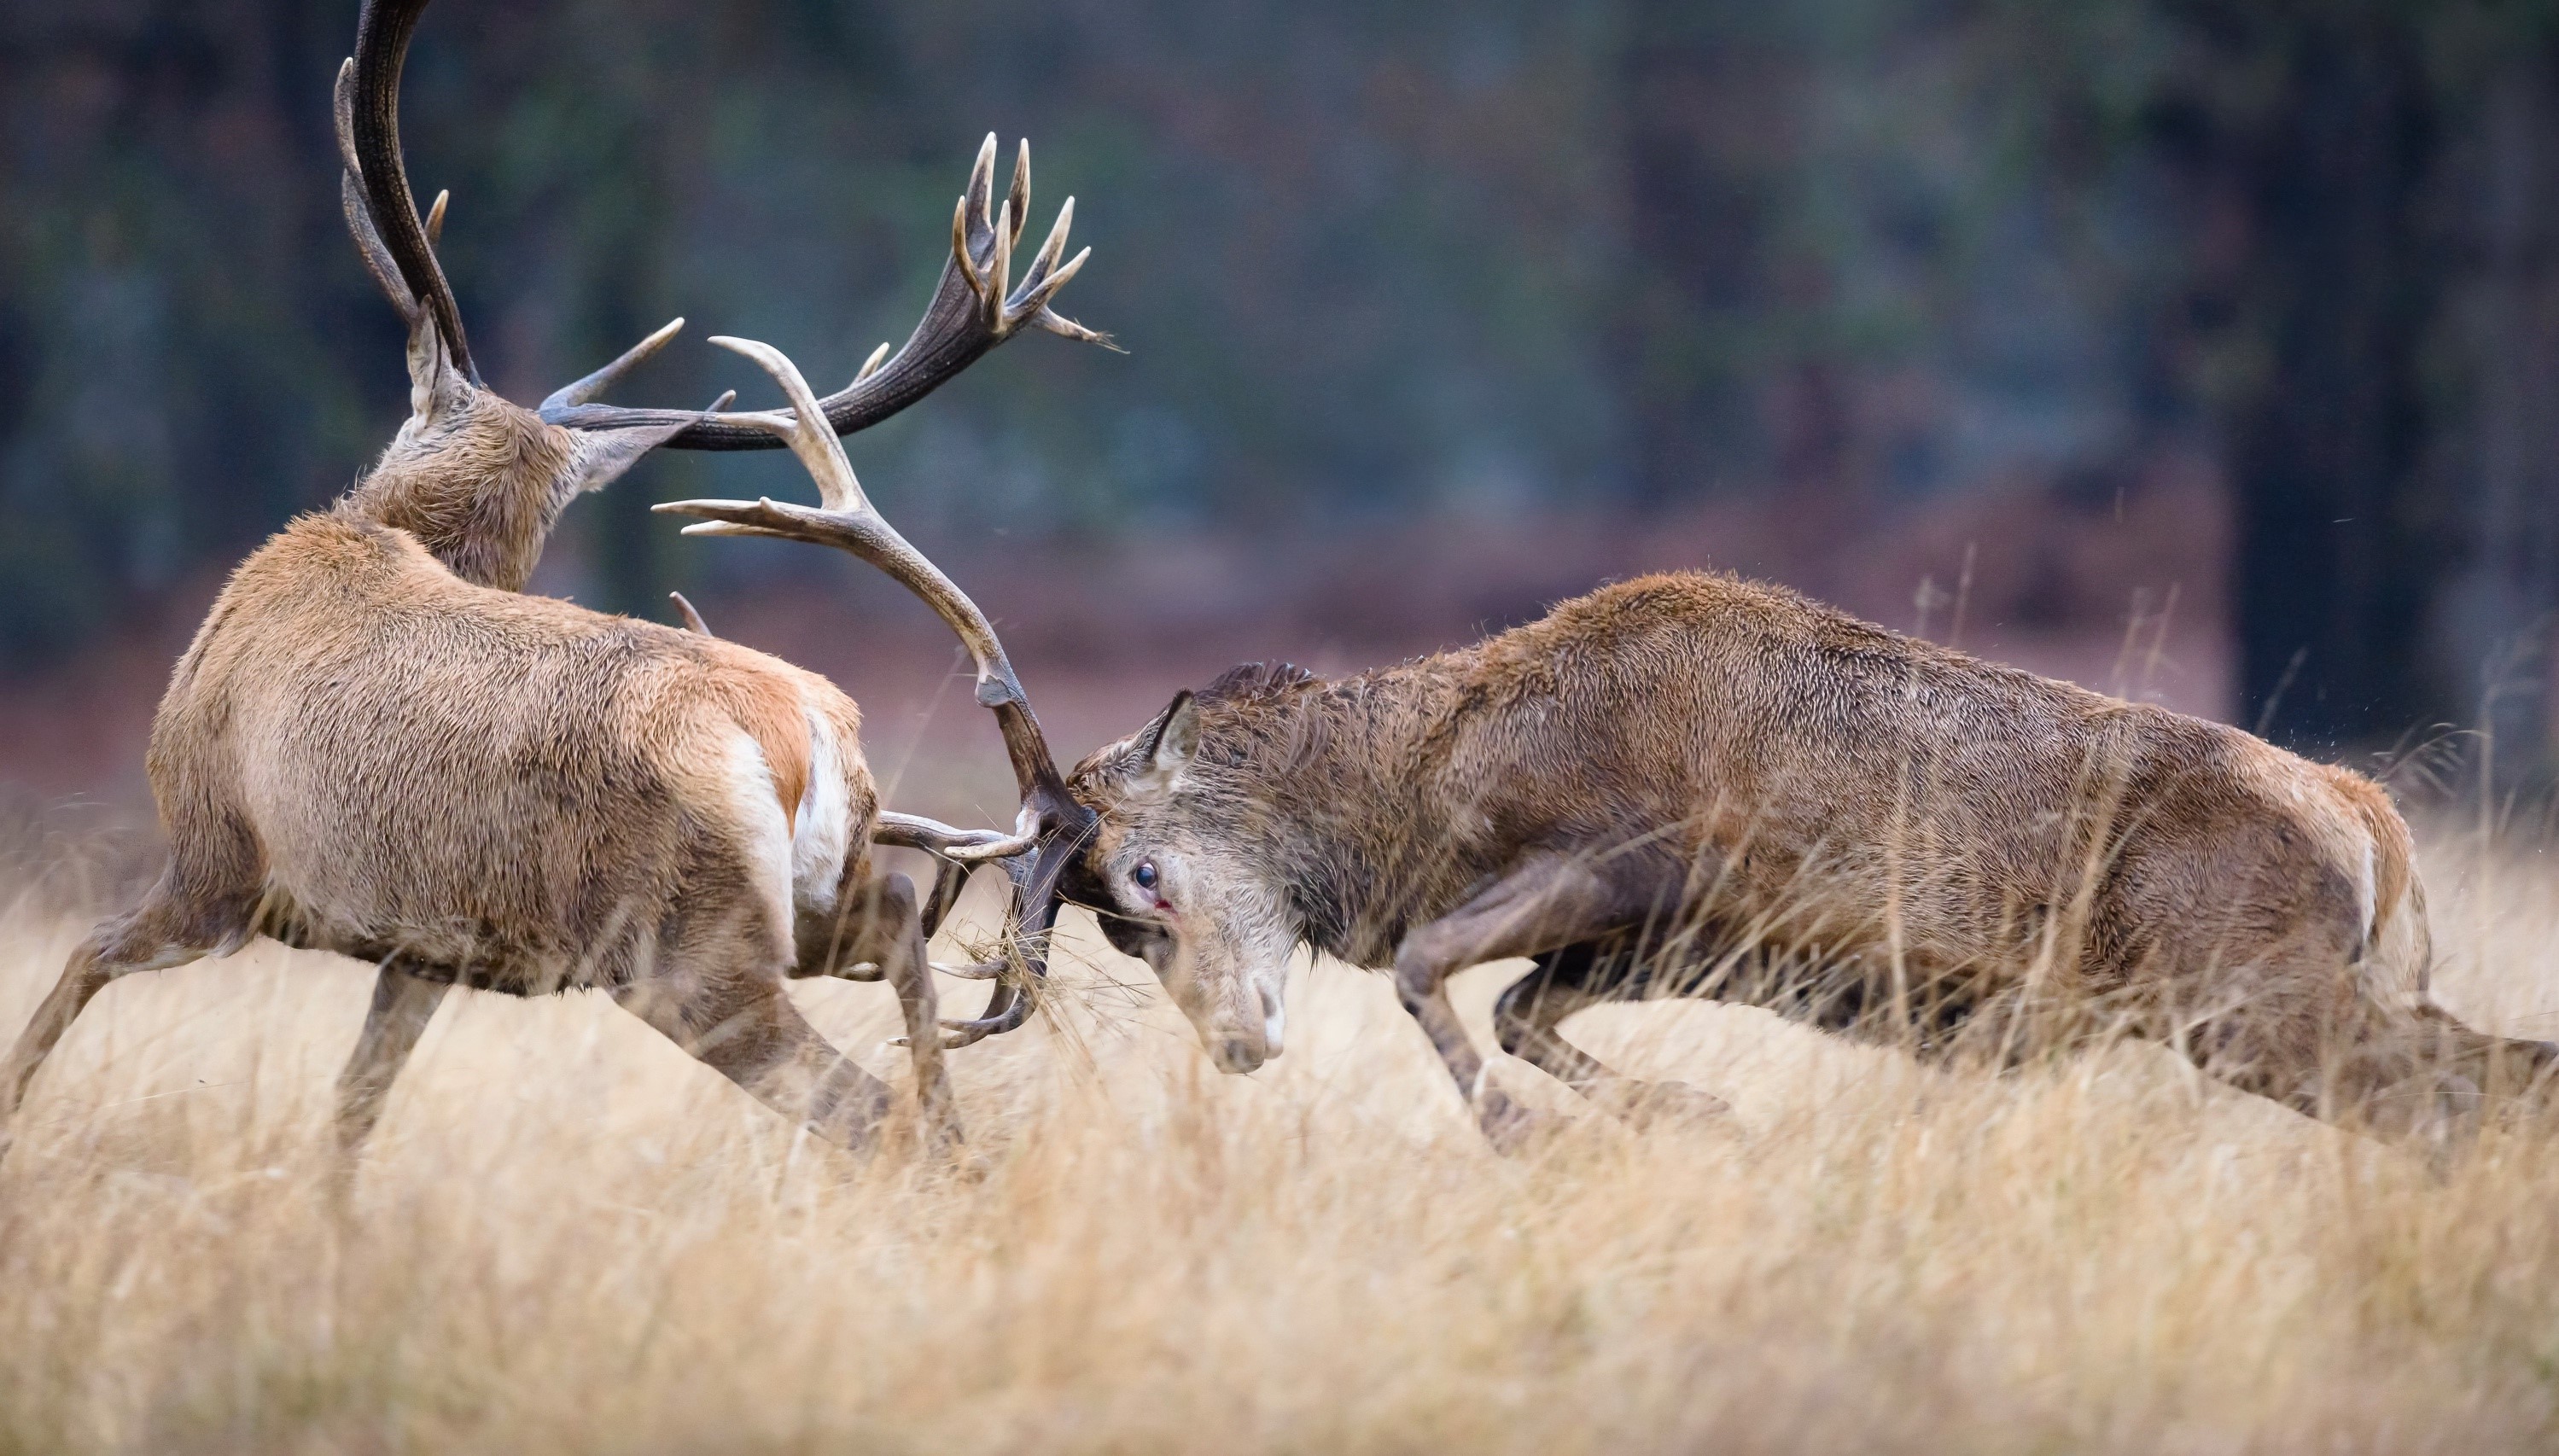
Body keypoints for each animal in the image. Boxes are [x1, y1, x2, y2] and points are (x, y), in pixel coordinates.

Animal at [0, 0, 1100, 1169]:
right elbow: (352, 1106)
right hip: (803, 900)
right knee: (898, 935)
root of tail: (806, 726)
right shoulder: (424, 945)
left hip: (677, 944)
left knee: (870, 1110)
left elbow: (78, 964)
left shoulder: (218, 855)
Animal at [1056, 572, 2559, 1149]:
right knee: (2495, 1070)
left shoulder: (1638, 861)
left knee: (2448, 1095)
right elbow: (1522, 1008)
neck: (1435, 795)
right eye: (1116, 921)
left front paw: (1529, 1136)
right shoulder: (1659, 944)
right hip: (2322, 989)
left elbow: (1433, 969)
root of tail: (2367, 815)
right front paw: (1692, 1114)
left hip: (2246, 996)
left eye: (1141, 880)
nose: (1233, 1042)